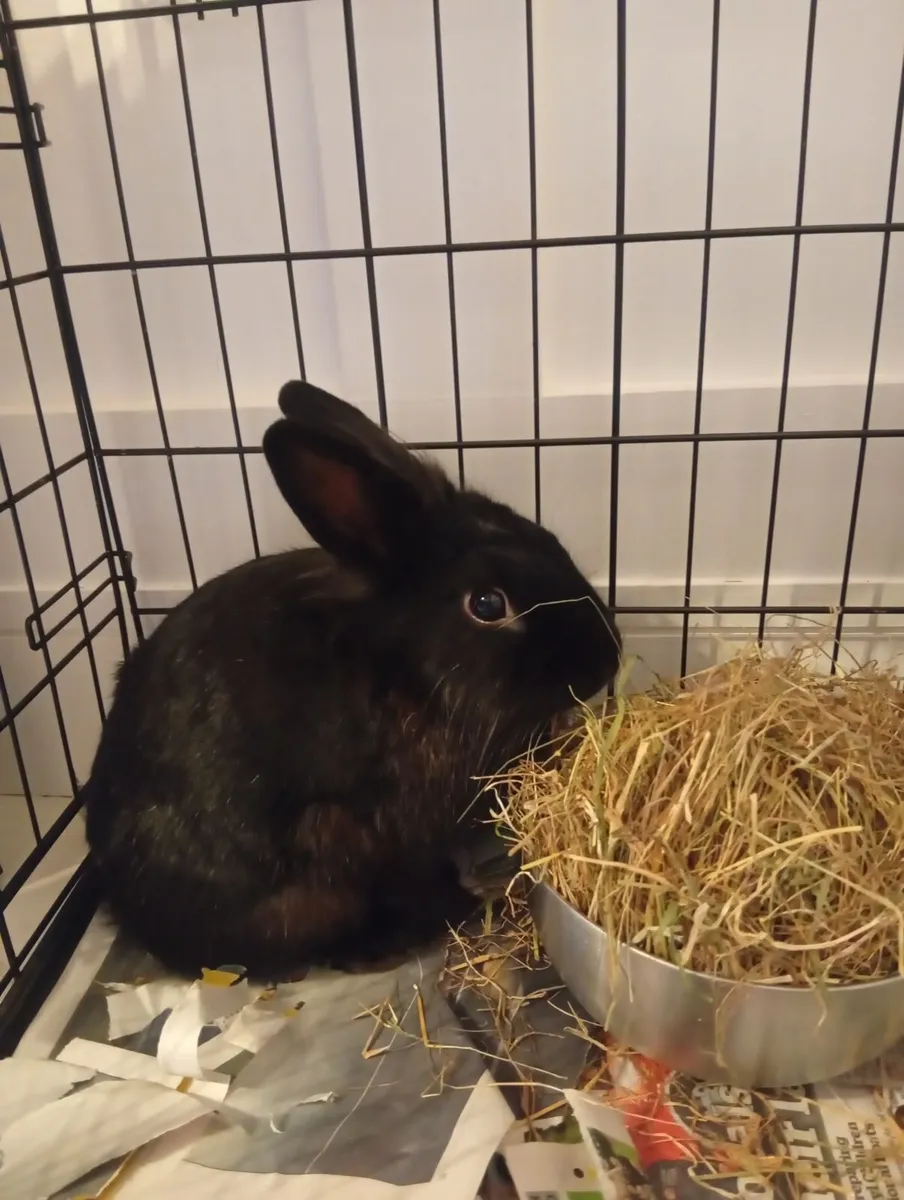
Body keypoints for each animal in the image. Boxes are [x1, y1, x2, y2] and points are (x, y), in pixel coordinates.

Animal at [84, 381, 622, 979]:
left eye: (548, 539)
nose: (607, 657)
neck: (406, 675)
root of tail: (132, 910)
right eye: (487, 605)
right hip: (312, 889)